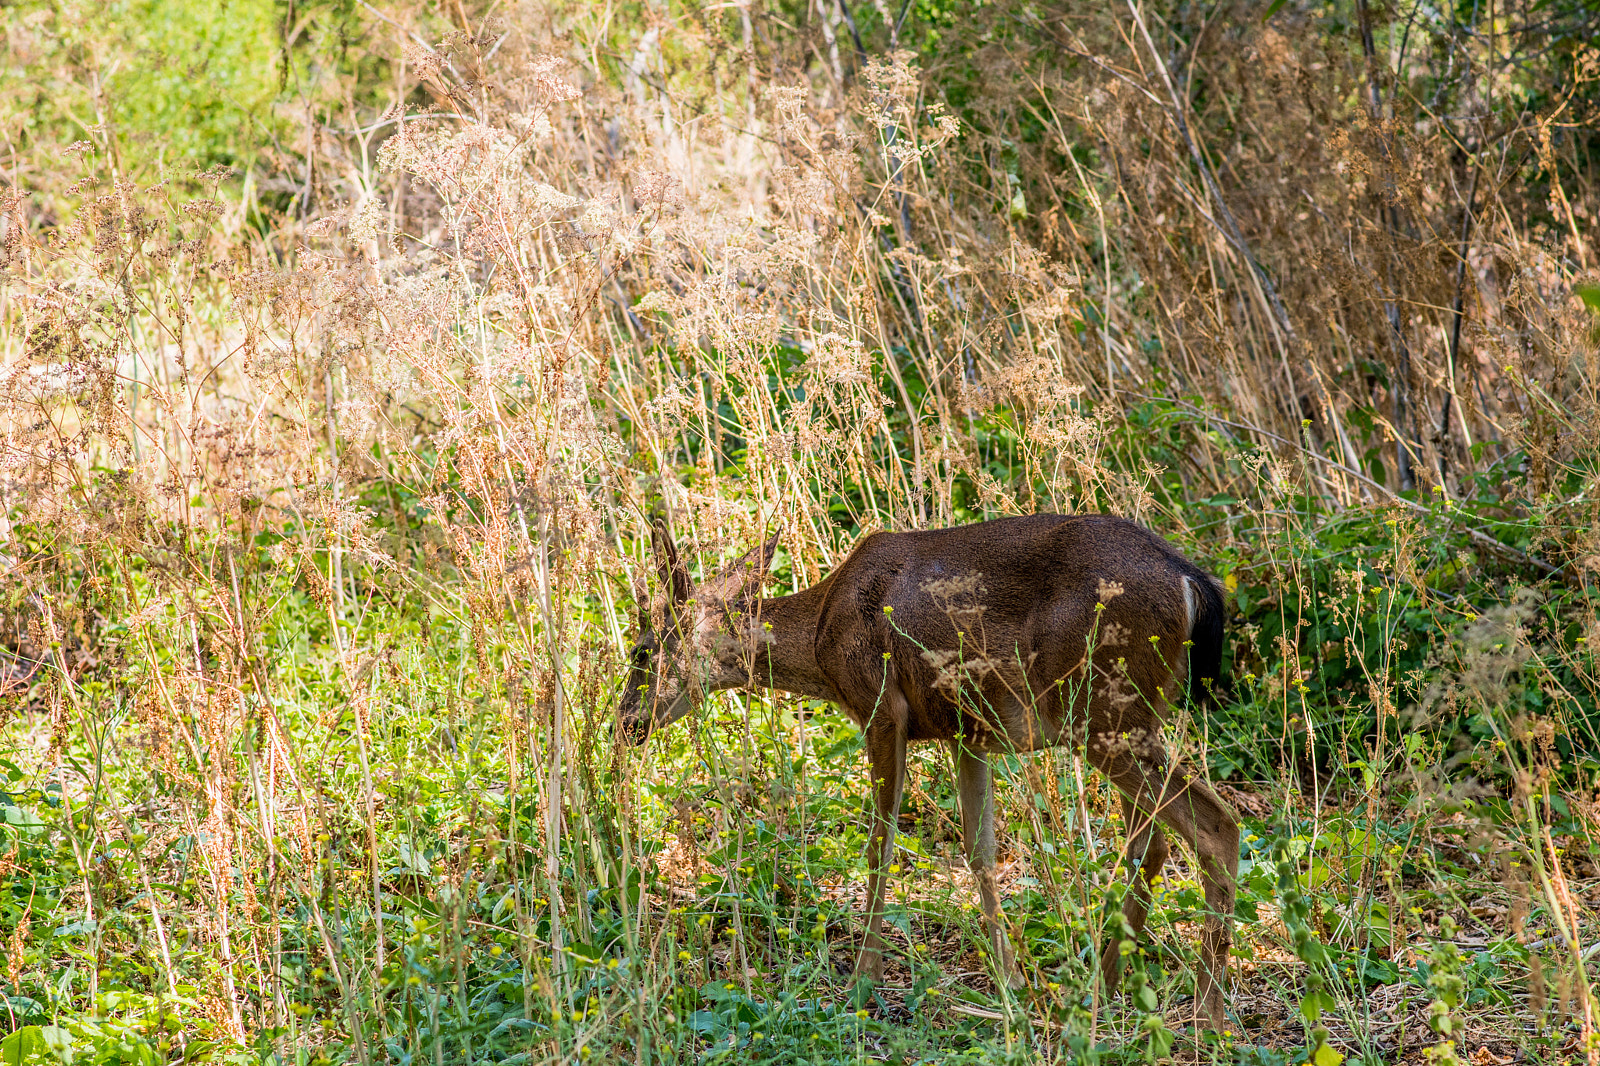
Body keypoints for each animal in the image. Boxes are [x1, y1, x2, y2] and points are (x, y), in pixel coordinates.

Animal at [617, 512, 1241, 1024]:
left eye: (642, 649)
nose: (623, 725)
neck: (822, 634)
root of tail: (1191, 579)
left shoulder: (880, 706)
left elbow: (881, 843)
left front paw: (862, 983)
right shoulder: (969, 731)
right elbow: (980, 849)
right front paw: (1010, 982)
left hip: (1103, 711)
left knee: (1212, 826)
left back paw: (1205, 1015)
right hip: (1127, 717)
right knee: (1154, 839)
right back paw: (1103, 990)